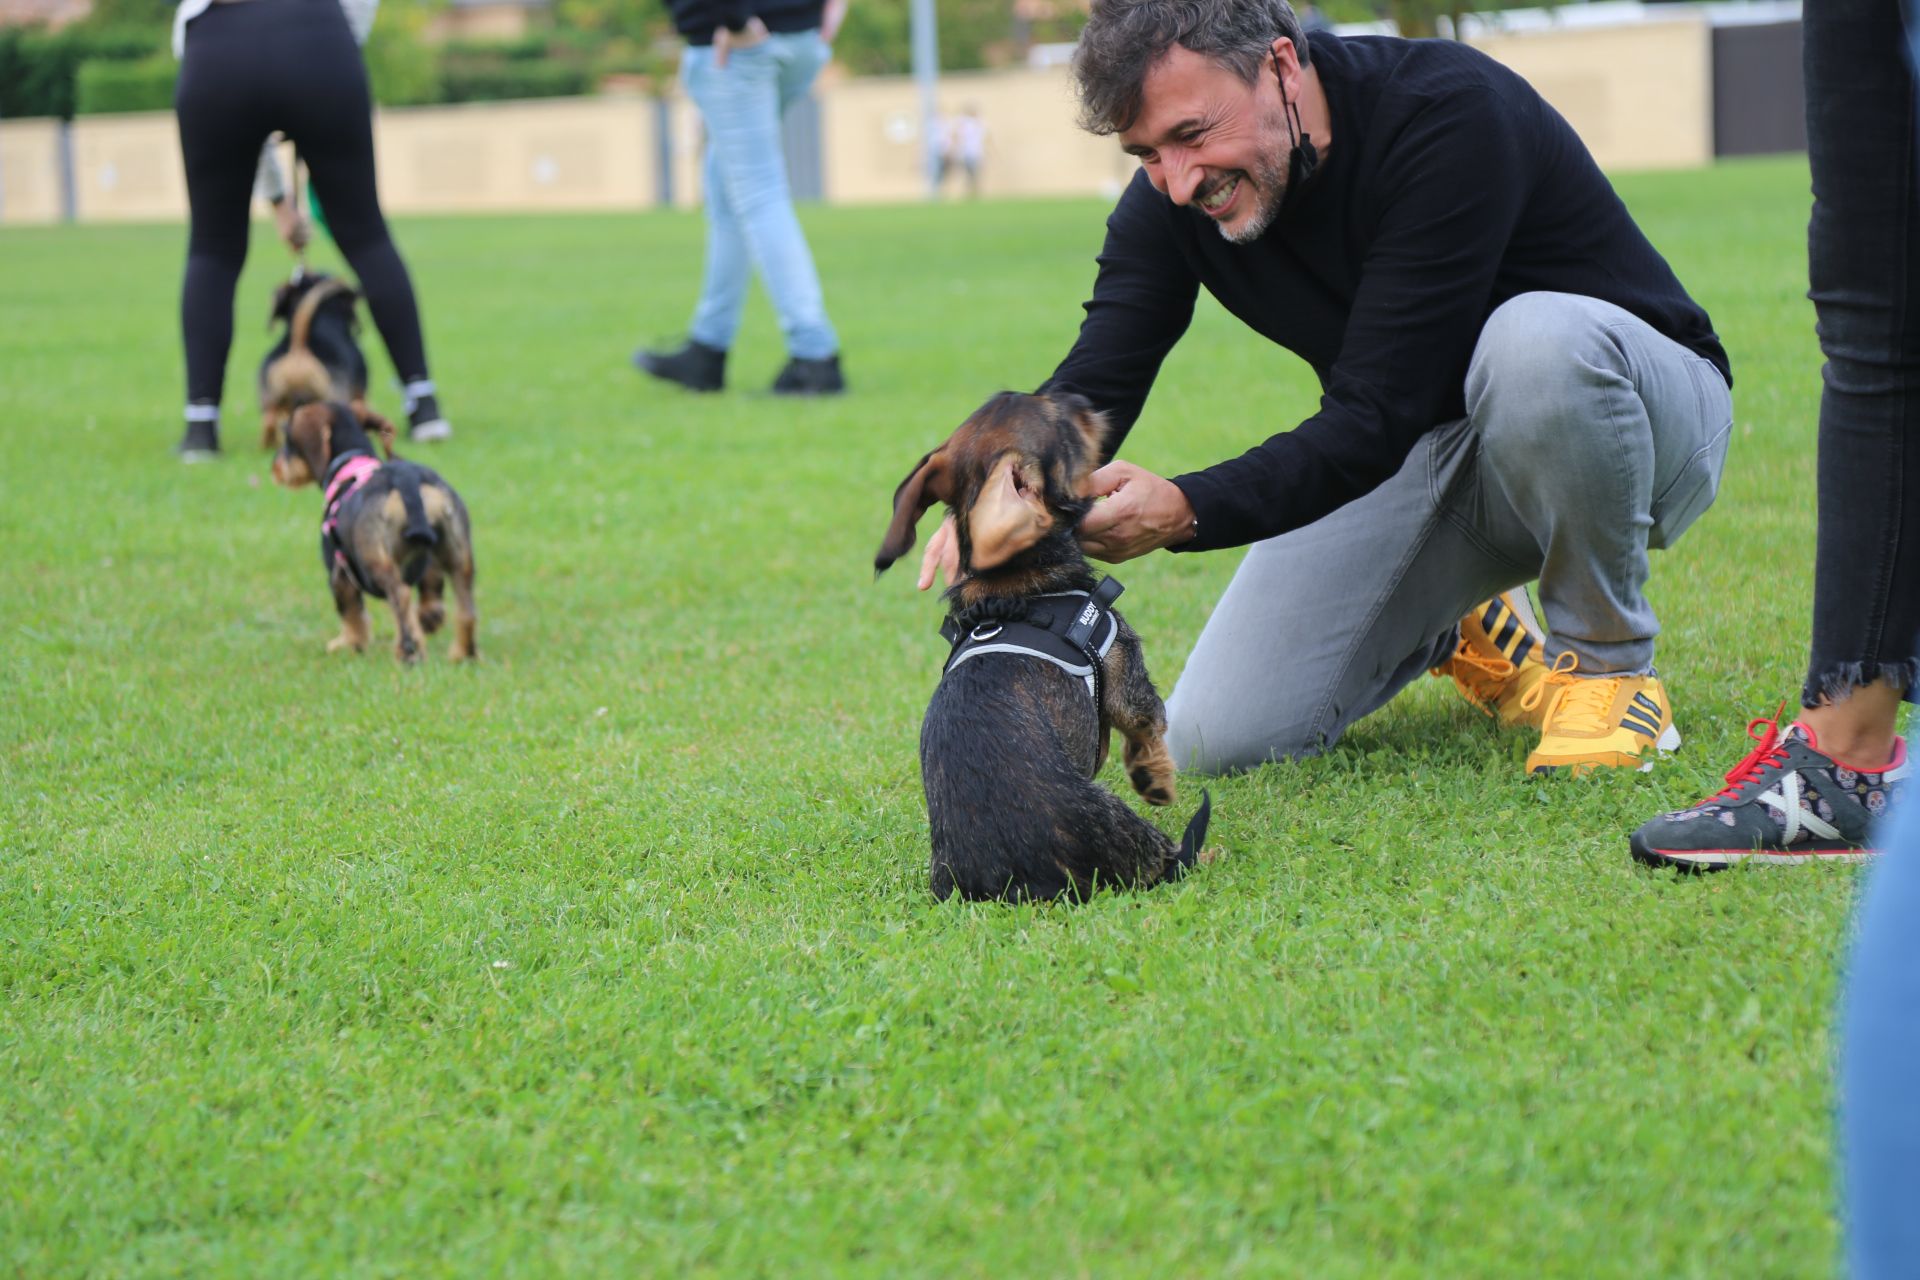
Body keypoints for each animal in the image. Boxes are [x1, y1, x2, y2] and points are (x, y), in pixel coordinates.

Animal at [270, 401, 476, 667]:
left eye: (287, 439)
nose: (274, 467)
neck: (351, 466)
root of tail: (406, 479)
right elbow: (431, 591)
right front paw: (430, 619)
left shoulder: (338, 571)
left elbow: (351, 613)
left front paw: (349, 644)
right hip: (457, 554)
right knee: (465, 605)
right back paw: (464, 653)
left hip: (375, 560)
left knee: (400, 596)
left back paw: (408, 651)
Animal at [875, 391, 1205, 901]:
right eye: (1064, 427)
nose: (1081, 398)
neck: (1014, 583)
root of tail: (1013, 888)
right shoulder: (1124, 671)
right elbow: (1148, 726)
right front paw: (1156, 780)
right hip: (1122, 825)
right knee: (1166, 861)